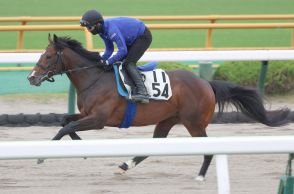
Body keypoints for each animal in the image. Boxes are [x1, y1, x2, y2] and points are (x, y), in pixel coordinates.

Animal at [26, 34, 288, 181]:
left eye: (48, 56)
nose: (31, 77)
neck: (94, 78)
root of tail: (206, 83)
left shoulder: (99, 119)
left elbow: (65, 127)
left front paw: (42, 156)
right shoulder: (86, 114)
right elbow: (65, 121)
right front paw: (80, 147)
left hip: (194, 123)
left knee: (207, 149)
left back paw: (200, 176)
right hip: (167, 120)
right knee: (151, 148)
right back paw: (124, 166)